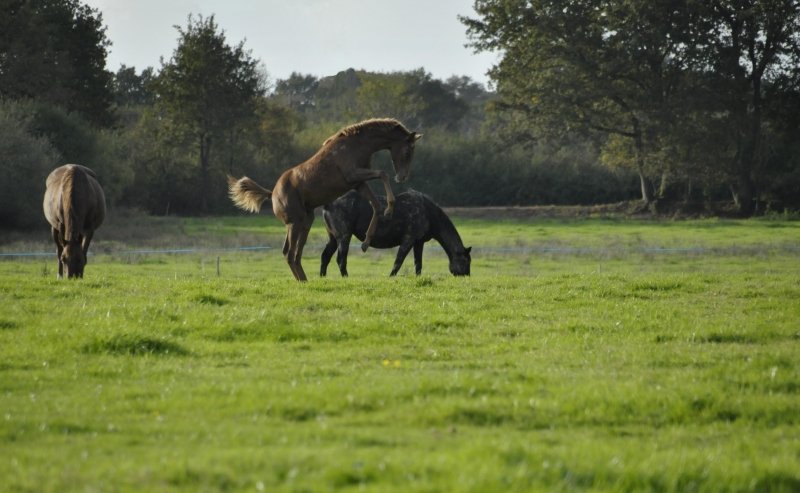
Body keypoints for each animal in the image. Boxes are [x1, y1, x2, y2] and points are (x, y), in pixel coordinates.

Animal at [228, 118, 422, 281]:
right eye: (407, 151)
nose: (402, 177)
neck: (356, 144)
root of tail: (272, 194)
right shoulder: (353, 175)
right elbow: (383, 174)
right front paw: (389, 209)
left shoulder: (358, 183)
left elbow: (376, 205)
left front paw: (367, 241)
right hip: (295, 223)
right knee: (290, 254)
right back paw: (303, 281)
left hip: (305, 222)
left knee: (294, 254)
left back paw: (305, 281)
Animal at [320, 190, 471, 277]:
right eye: (466, 261)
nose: (466, 276)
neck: (429, 213)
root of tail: (329, 204)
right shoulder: (408, 240)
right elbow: (398, 261)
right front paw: (391, 277)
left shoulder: (419, 242)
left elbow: (418, 264)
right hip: (344, 237)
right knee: (341, 259)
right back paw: (345, 277)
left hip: (333, 238)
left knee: (325, 256)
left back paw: (323, 276)